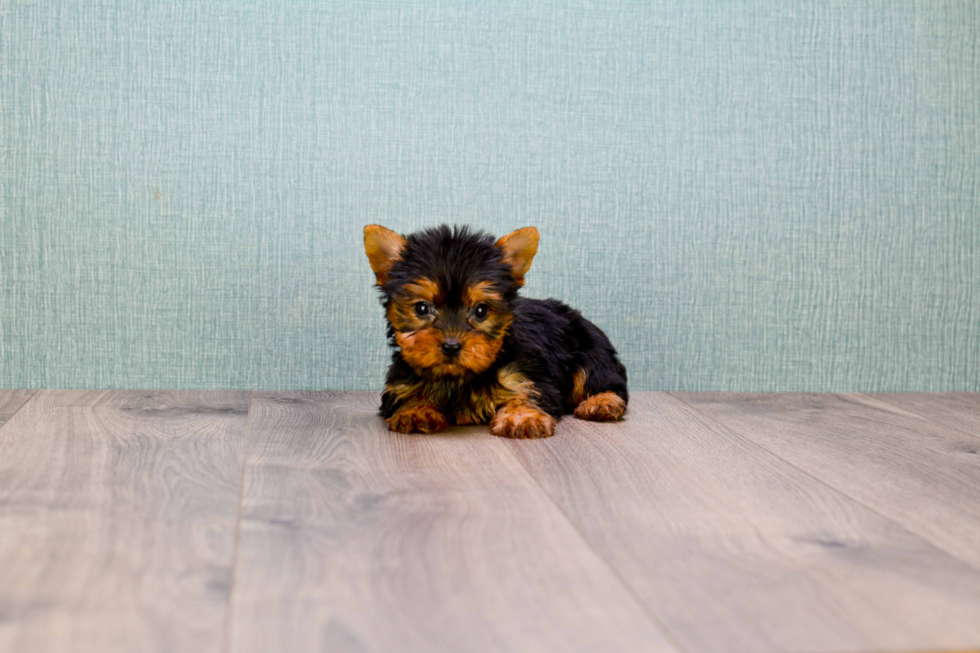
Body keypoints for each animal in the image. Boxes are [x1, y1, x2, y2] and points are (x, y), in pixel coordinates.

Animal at [366, 224, 628, 438]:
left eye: (481, 310)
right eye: (421, 308)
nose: (451, 346)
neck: (456, 379)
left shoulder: (526, 373)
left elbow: (529, 392)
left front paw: (522, 417)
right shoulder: (400, 381)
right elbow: (407, 394)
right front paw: (416, 410)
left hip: (590, 349)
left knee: (601, 379)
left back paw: (602, 402)